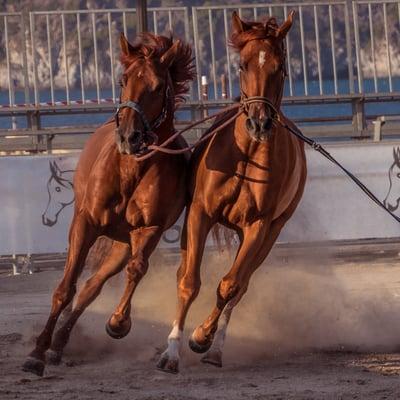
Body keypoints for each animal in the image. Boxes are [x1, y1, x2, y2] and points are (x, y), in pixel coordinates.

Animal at [23, 32, 195, 376]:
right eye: (123, 80)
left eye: (158, 85)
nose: (129, 136)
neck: (131, 170)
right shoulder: (84, 224)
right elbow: (65, 288)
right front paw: (36, 353)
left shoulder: (148, 230)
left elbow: (136, 270)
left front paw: (118, 322)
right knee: (84, 286)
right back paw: (53, 346)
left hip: (121, 244)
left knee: (94, 285)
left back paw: (60, 344)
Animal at [159, 10, 306, 374]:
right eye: (242, 64)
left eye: (280, 67)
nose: (259, 123)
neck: (247, 155)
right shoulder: (200, 213)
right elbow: (188, 282)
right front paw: (171, 352)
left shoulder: (258, 227)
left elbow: (230, 285)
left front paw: (201, 337)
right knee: (186, 273)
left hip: (268, 234)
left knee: (241, 285)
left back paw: (214, 349)